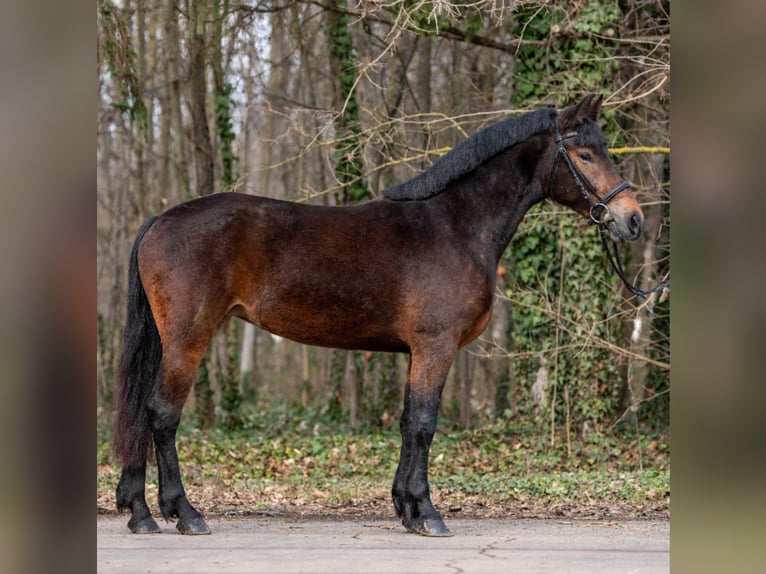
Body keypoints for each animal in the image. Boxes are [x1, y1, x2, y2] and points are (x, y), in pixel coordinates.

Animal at [112, 94, 644, 537]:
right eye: (585, 154)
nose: (632, 219)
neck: (456, 226)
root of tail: (161, 220)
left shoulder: (417, 352)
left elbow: (408, 423)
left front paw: (406, 508)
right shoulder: (435, 346)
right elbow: (425, 424)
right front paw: (427, 513)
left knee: (142, 413)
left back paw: (140, 513)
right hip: (188, 340)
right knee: (161, 415)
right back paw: (184, 513)